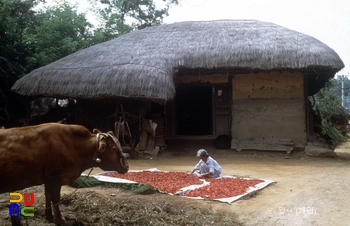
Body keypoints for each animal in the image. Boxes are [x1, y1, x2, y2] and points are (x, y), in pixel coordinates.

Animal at [0, 122, 129, 225]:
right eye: (113, 149)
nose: (126, 166)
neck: (77, 146)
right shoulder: (56, 176)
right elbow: (55, 198)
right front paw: (60, 219)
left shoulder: (48, 178)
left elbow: (48, 195)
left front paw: (49, 216)